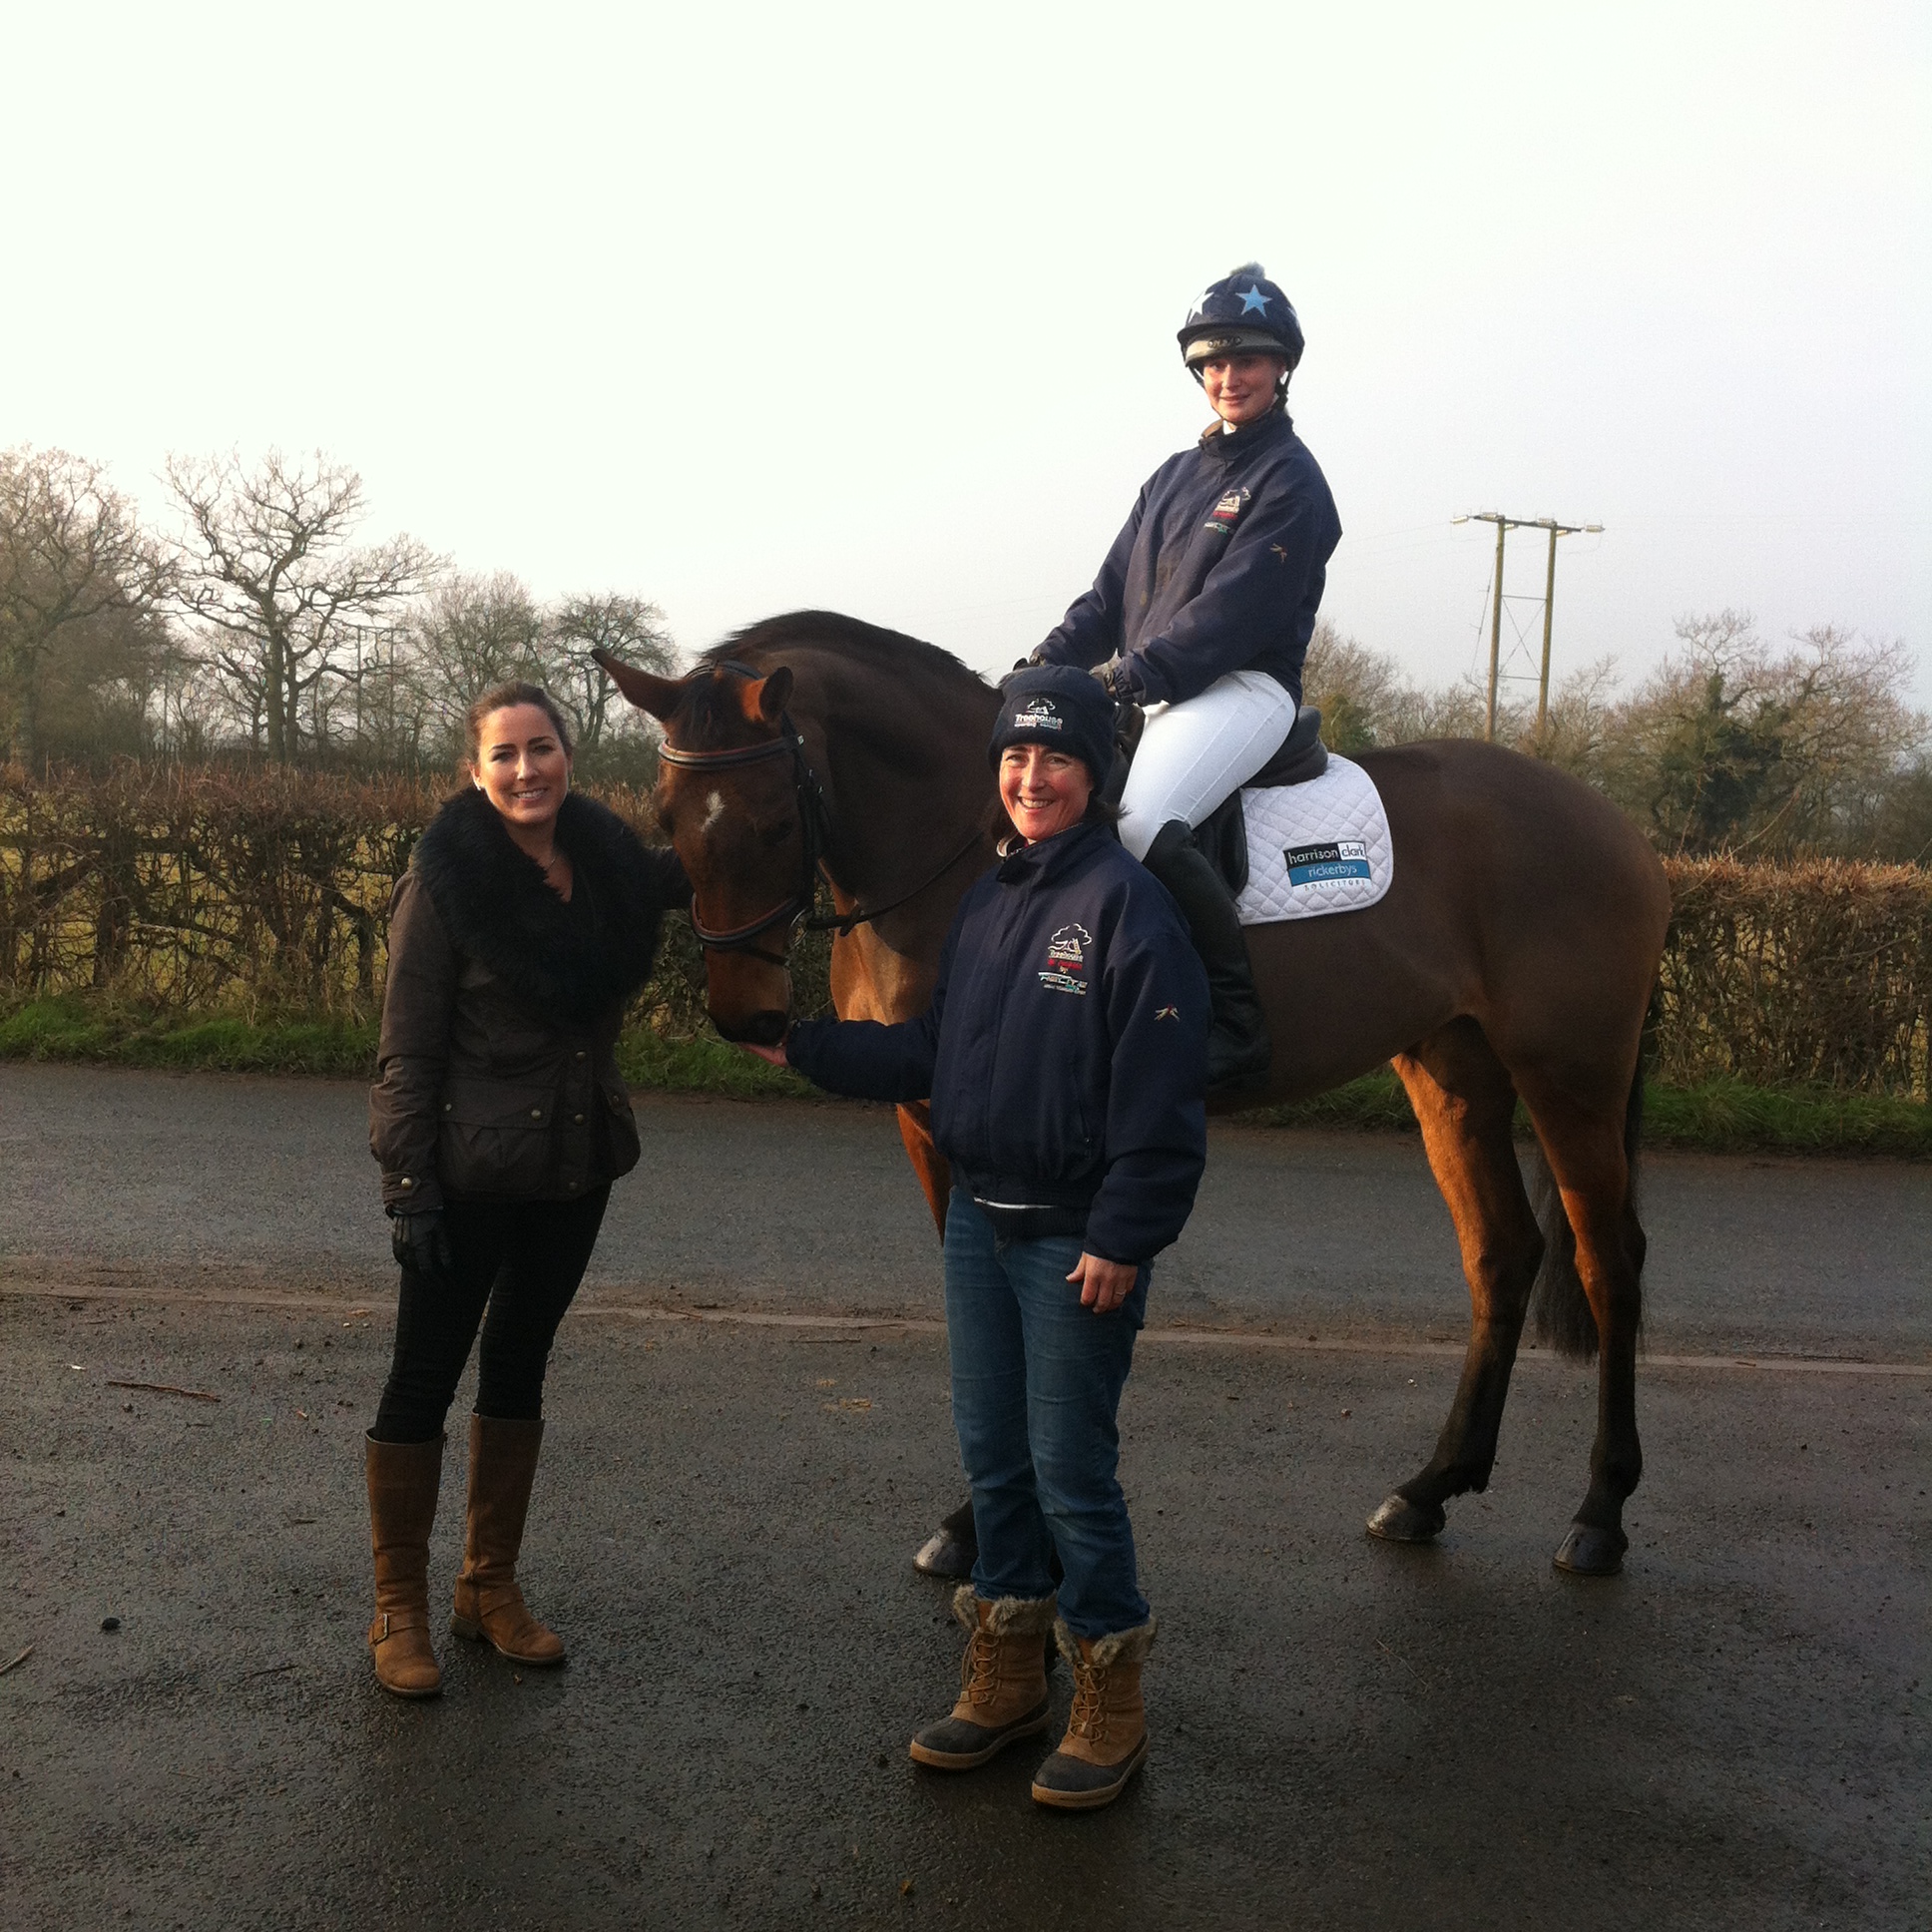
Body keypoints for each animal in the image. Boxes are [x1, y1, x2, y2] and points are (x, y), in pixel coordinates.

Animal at [603, 610, 1677, 1576]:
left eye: (777, 818)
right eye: (663, 818)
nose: (745, 1017)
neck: (983, 845)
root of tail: (1613, 821)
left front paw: (983, 1526)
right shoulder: (926, 1115)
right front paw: (982, 1521)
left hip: (1569, 1073)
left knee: (1606, 1262)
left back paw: (1600, 1515)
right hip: (1451, 1069)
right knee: (1501, 1254)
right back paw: (1429, 1489)